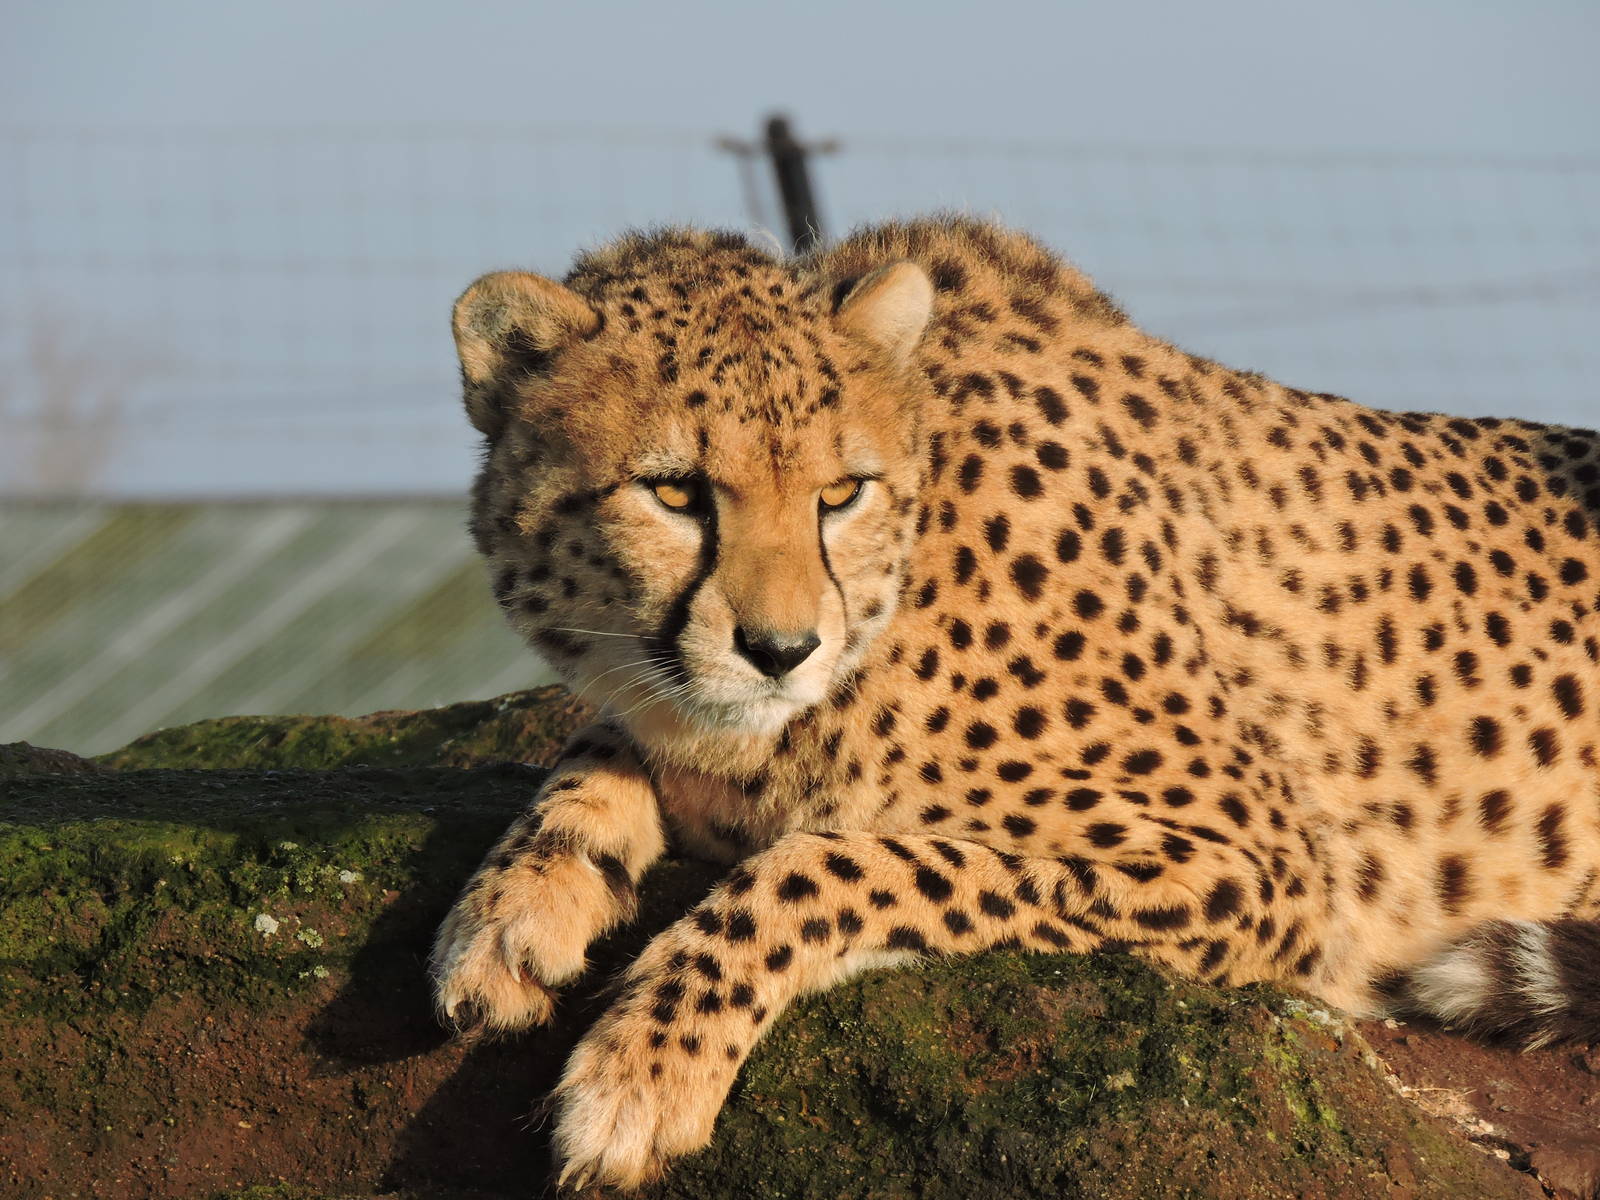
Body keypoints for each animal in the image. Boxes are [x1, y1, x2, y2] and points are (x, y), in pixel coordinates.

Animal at [429, 215, 1600, 1191]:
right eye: (674, 491)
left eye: (839, 492)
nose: (780, 650)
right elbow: (597, 747)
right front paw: (512, 910)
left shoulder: (1257, 871)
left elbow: (839, 861)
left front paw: (642, 1067)